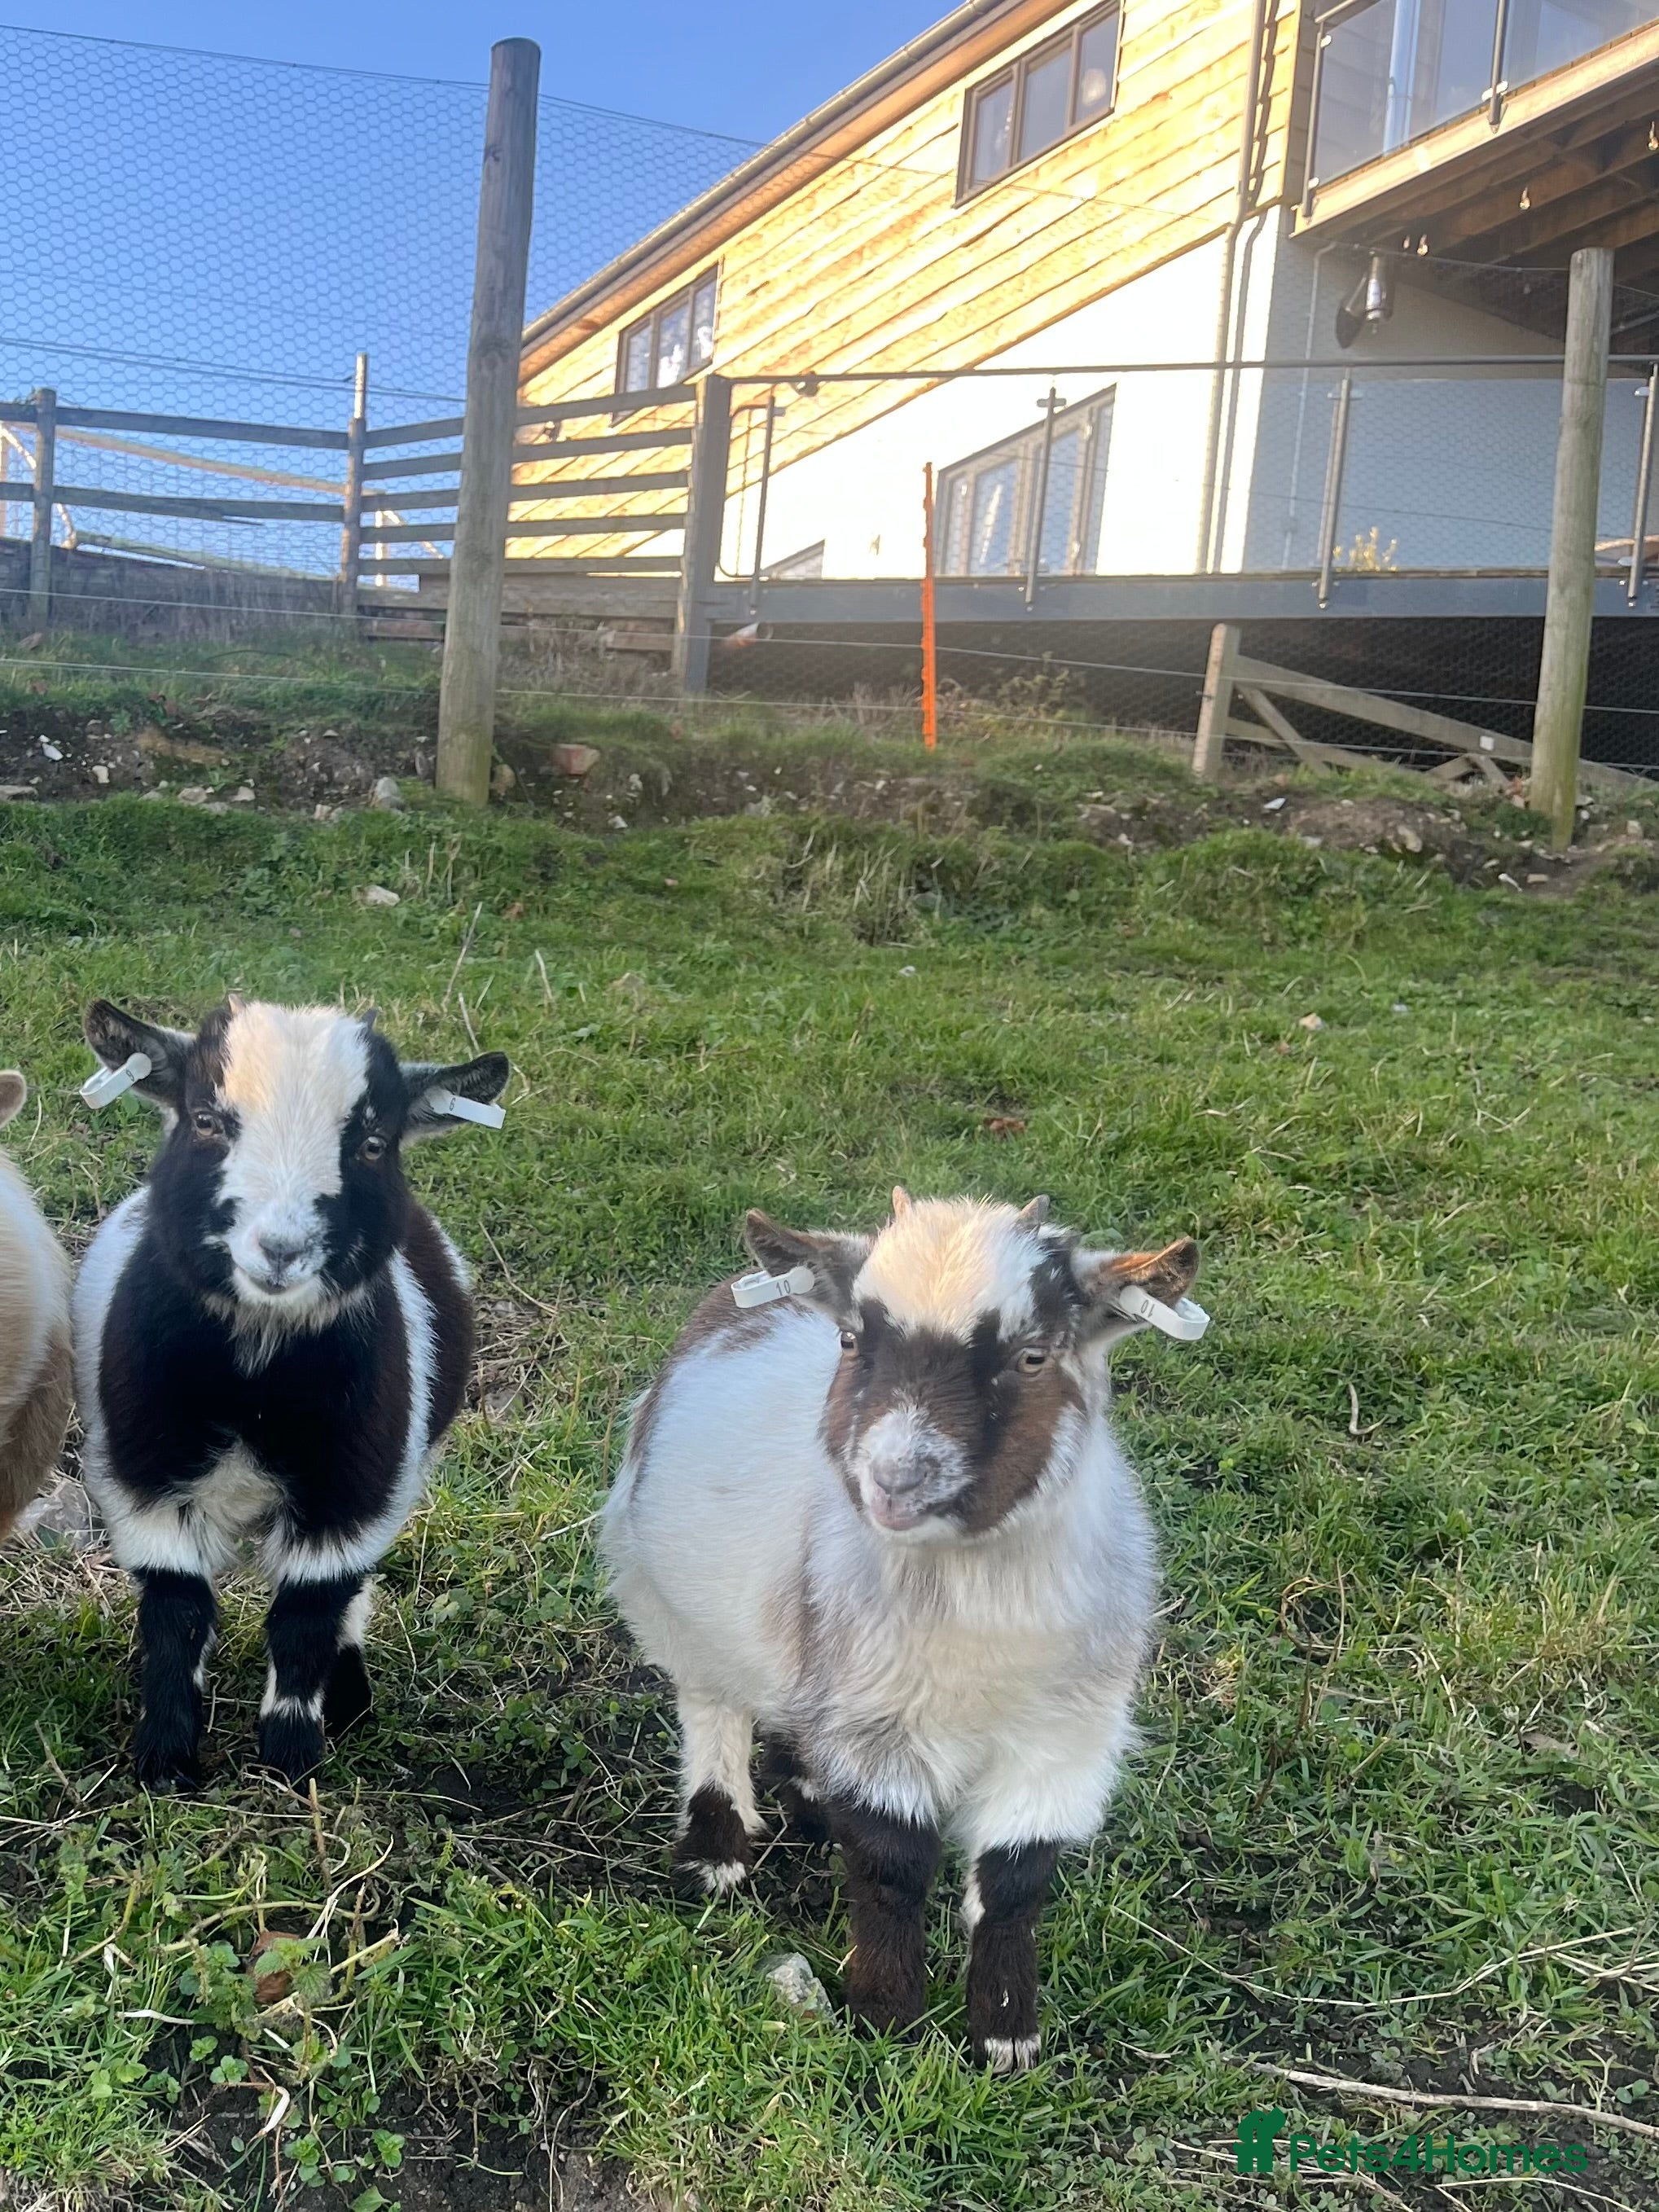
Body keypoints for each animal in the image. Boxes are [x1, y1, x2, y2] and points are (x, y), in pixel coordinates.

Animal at [73, 996, 508, 1789]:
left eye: (372, 1143)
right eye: (205, 1119)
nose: (280, 1251)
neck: (257, 1381)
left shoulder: (355, 1487)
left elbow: (307, 1612)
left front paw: (291, 1760)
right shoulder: (143, 1477)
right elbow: (177, 1610)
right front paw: (166, 1760)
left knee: (349, 1596)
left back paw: (351, 1698)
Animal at [602, 1190, 1199, 2071]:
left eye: (1032, 1357)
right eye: (854, 1342)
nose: (893, 1478)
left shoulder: (1063, 1742)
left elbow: (1016, 1883)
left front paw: (1006, 2038)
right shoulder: (878, 1731)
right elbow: (891, 1867)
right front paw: (890, 2026)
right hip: (670, 1605)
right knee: (712, 1712)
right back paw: (715, 1856)